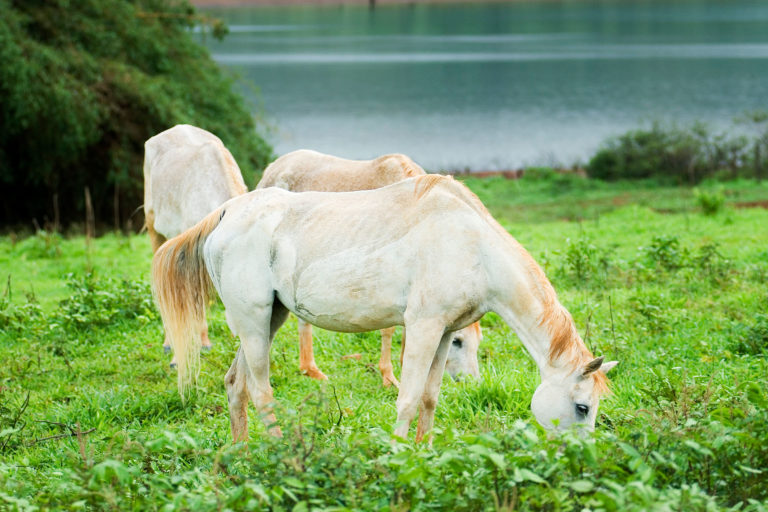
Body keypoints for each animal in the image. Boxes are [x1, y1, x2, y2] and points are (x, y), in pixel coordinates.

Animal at [152, 175, 617, 442]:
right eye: (582, 407)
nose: (581, 458)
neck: (471, 245)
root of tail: (227, 213)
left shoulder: (444, 333)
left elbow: (429, 398)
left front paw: (424, 453)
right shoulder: (423, 328)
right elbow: (408, 399)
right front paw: (397, 456)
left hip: (269, 319)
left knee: (236, 384)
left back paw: (243, 453)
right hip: (252, 322)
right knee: (261, 391)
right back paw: (281, 451)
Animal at [258, 149, 482, 386]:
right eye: (457, 341)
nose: (472, 383)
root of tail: (275, 167)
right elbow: (388, 329)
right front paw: (389, 376)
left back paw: (309, 368)